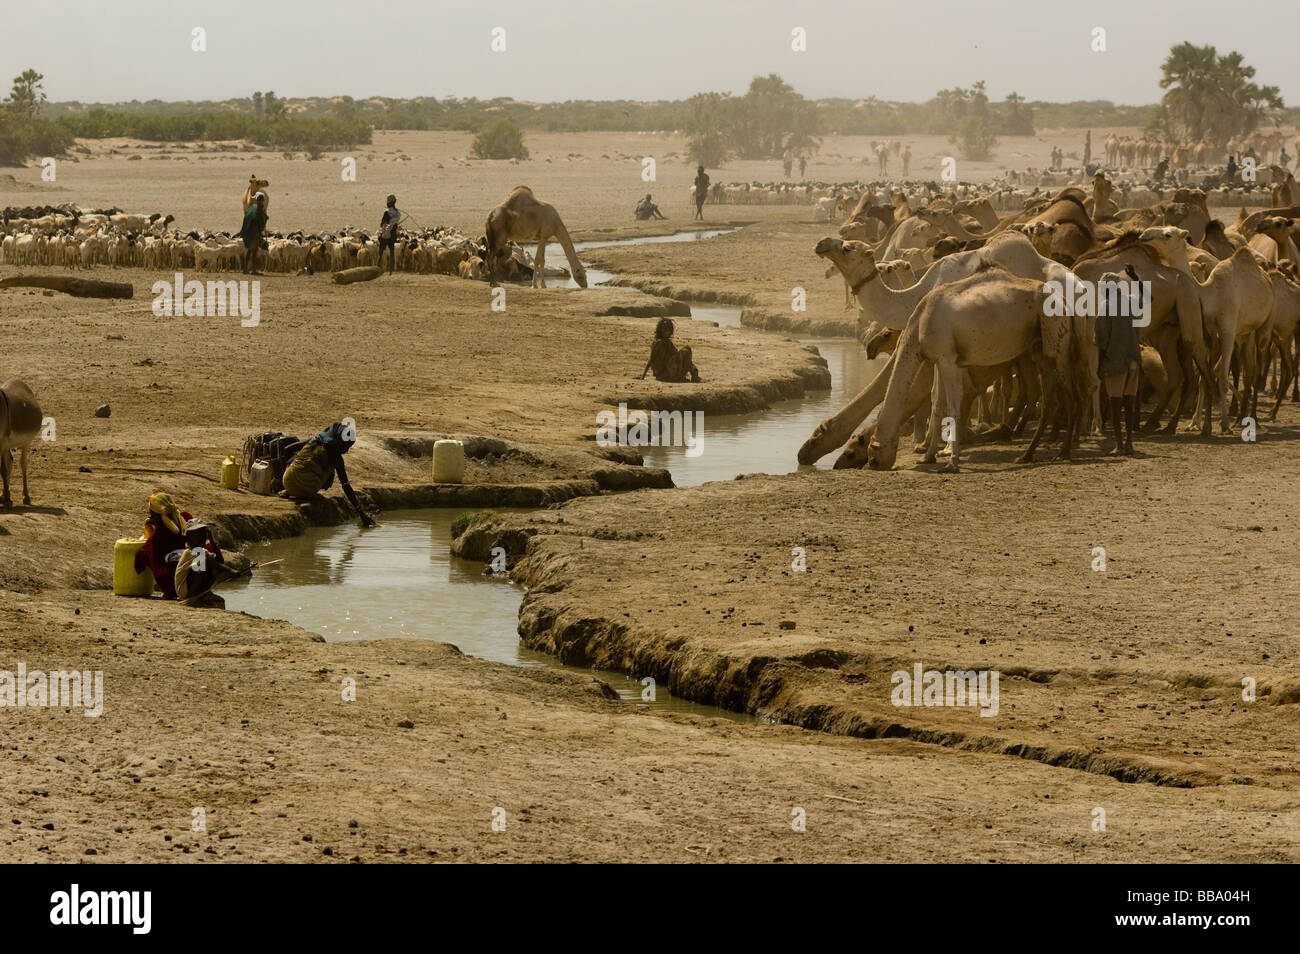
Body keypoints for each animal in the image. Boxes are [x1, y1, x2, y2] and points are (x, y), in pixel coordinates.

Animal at [0, 382, 41, 512]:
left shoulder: (2, 442)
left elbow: (3, 470)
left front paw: (7, 501)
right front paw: (6, 498)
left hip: (25, 443)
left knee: (23, 465)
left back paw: (26, 497)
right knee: (10, 462)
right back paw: (3, 495)